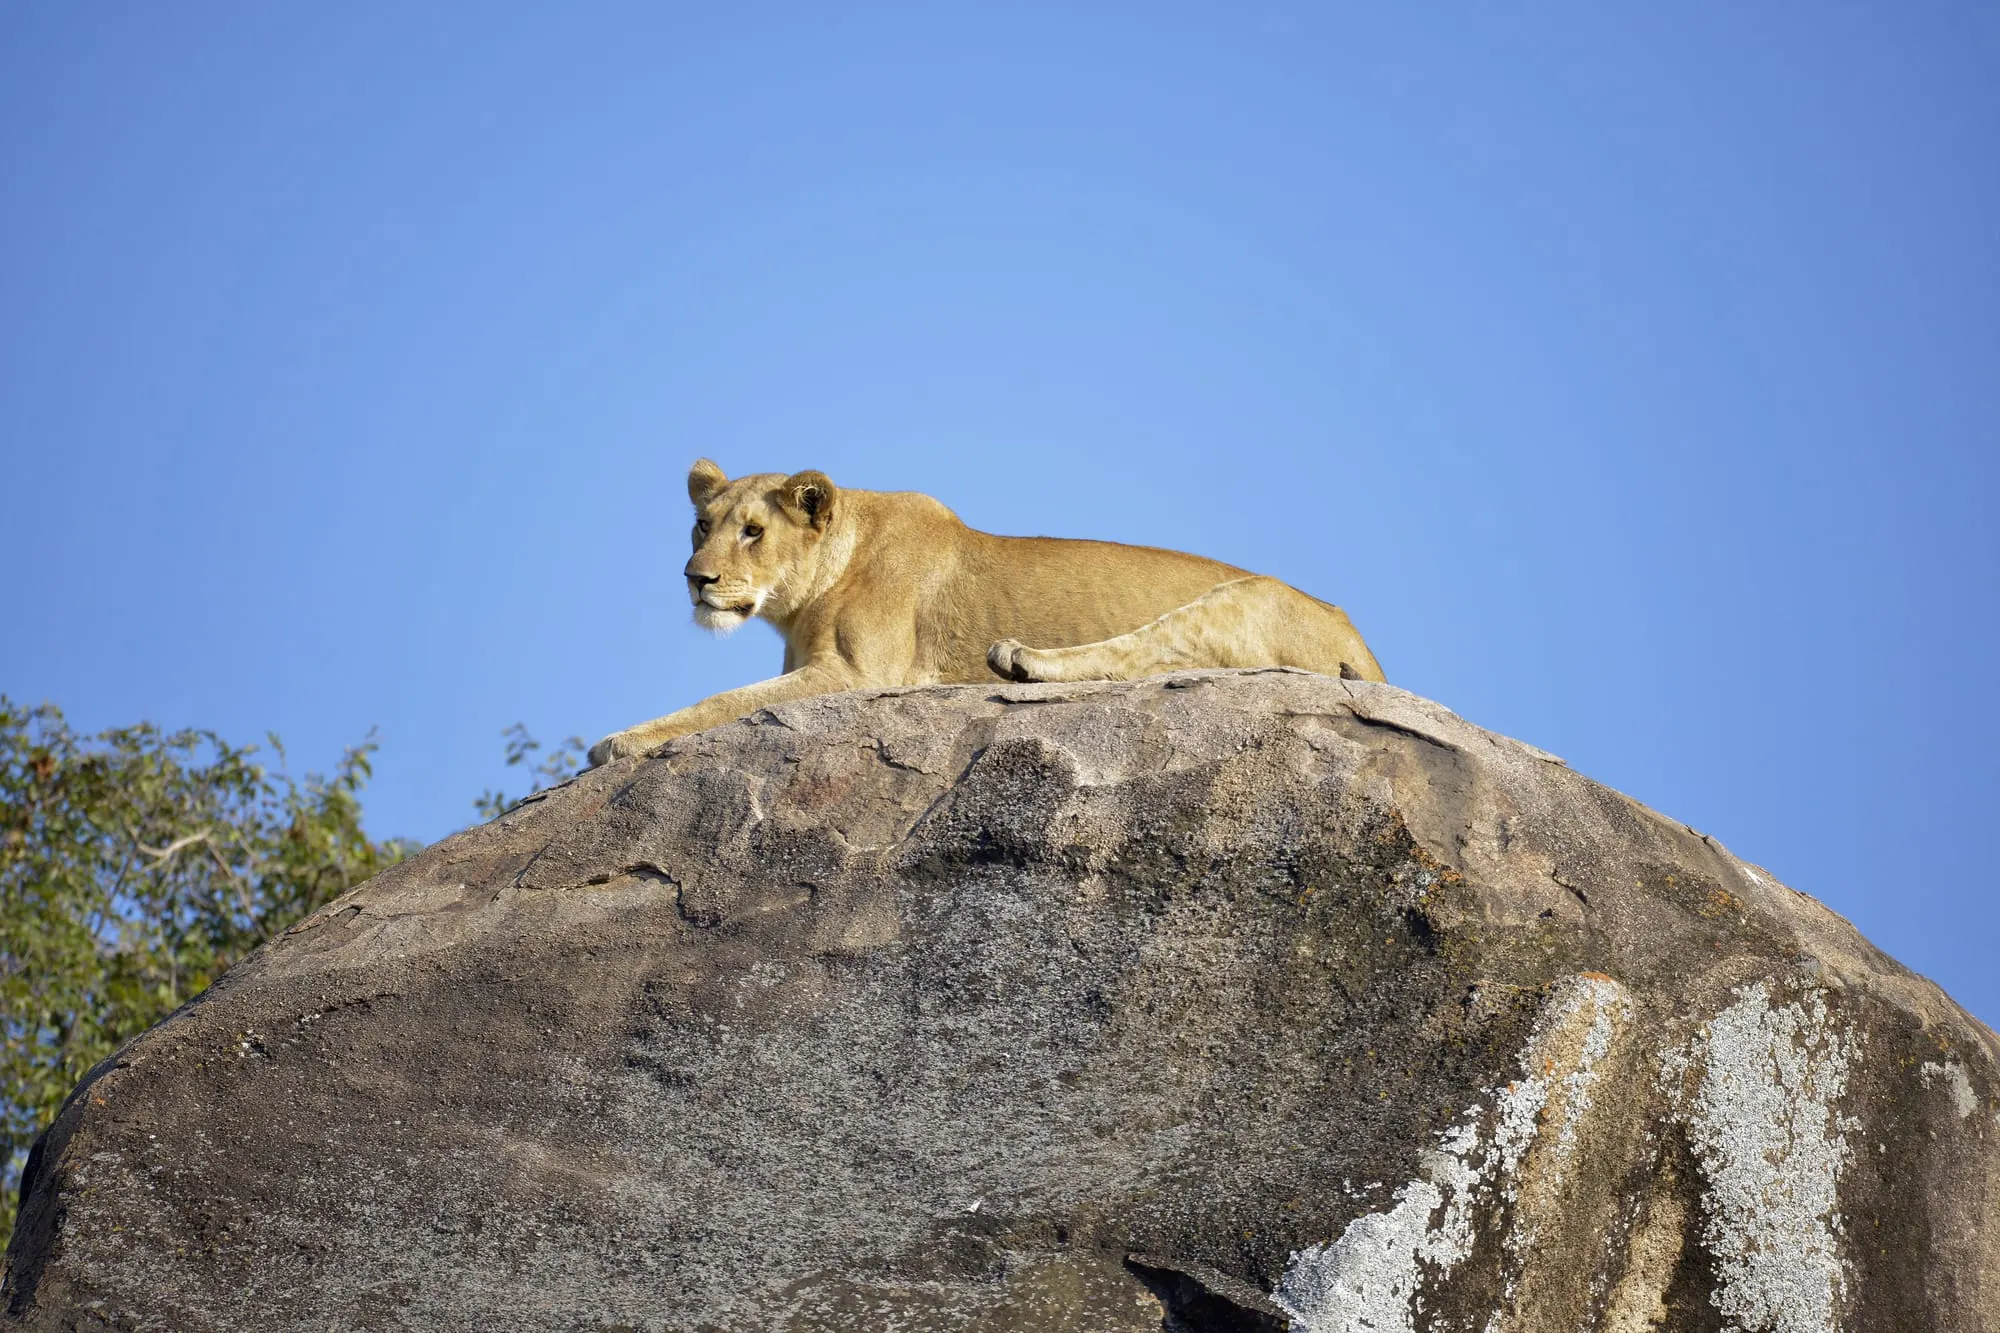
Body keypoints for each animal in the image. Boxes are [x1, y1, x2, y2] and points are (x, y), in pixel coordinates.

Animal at [587, 459, 1385, 765]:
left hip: (1242, 599)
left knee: (1138, 653)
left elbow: (724, 700)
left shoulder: (858, 676)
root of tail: (1366, 647)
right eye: (701, 525)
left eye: (753, 530)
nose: (696, 579)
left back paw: (1018, 658)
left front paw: (618, 742)